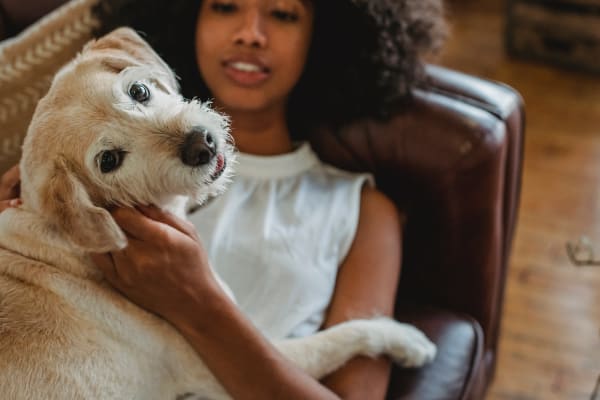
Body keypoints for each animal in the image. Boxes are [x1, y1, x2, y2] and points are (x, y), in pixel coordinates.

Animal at [0, 28, 434, 400]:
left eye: (138, 90)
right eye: (108, 160)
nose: (201, 144)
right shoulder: (229, 364)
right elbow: (339, 336)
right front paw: (403, 338)